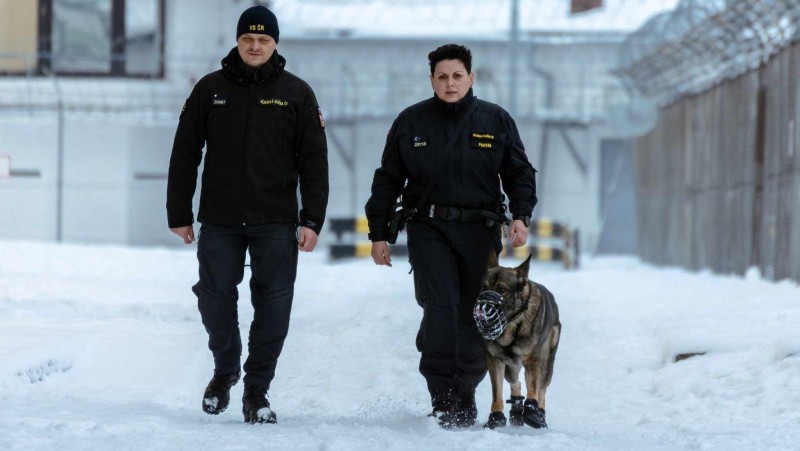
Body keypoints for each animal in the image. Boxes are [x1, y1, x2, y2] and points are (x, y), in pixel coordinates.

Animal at [476, 254, 564, 430]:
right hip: (510, 366)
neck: (512, 323)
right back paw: (516, 411)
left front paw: (532, 412)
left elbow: (533, 389)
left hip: (546, 364)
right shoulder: (495, 360)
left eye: (502, 290)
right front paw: (496, 418)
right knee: (515, 382)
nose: (482, 309)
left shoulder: (533, 361)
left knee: (541, 390)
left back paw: (539, 415)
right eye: (484, 288)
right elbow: (497, 393)